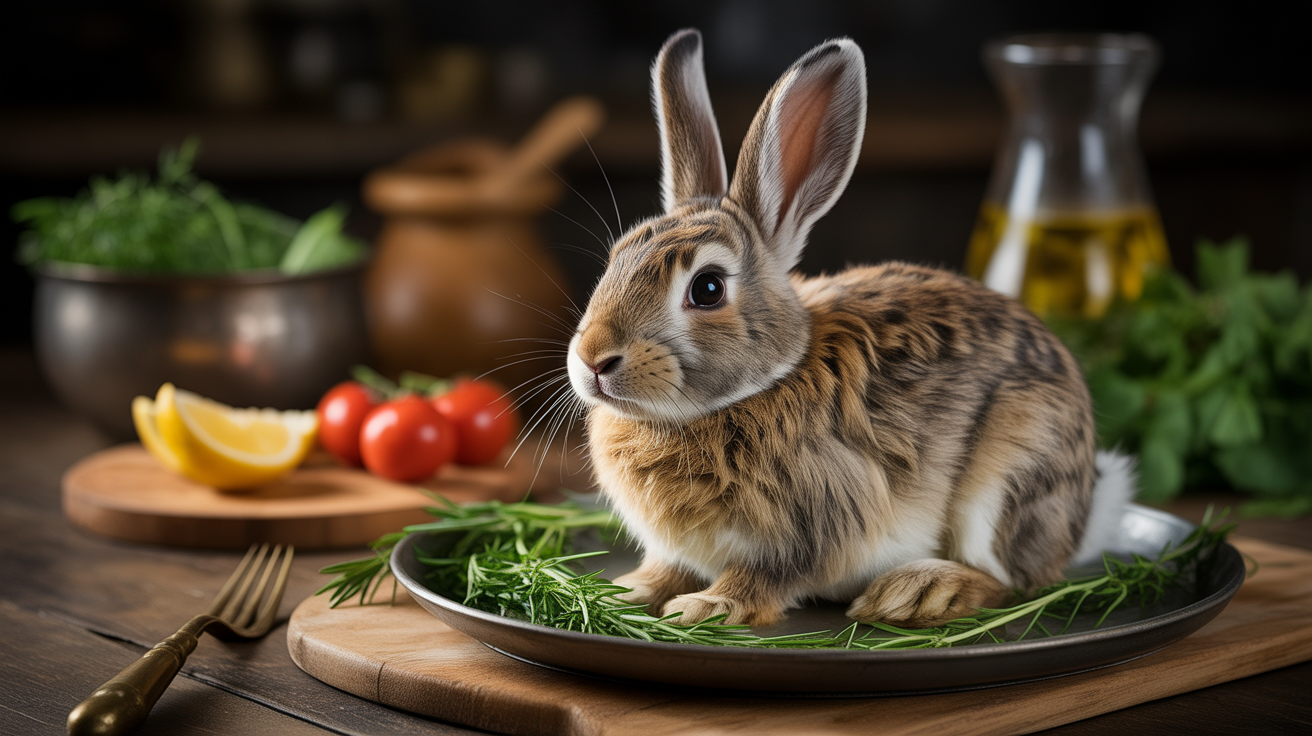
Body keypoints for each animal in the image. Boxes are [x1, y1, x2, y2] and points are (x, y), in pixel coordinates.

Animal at [565, 28, 1132, 629]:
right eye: (616, 258)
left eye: (709, 288)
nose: (594, 358)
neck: (758, 386)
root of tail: (1086, 513)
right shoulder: (678, 549)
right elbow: (664, 570)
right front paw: (624, 593)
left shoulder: (808, 529)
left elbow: (760, 579)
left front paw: (704, 607)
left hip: (1014, 466)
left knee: (1009, 580)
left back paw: (918, 592)